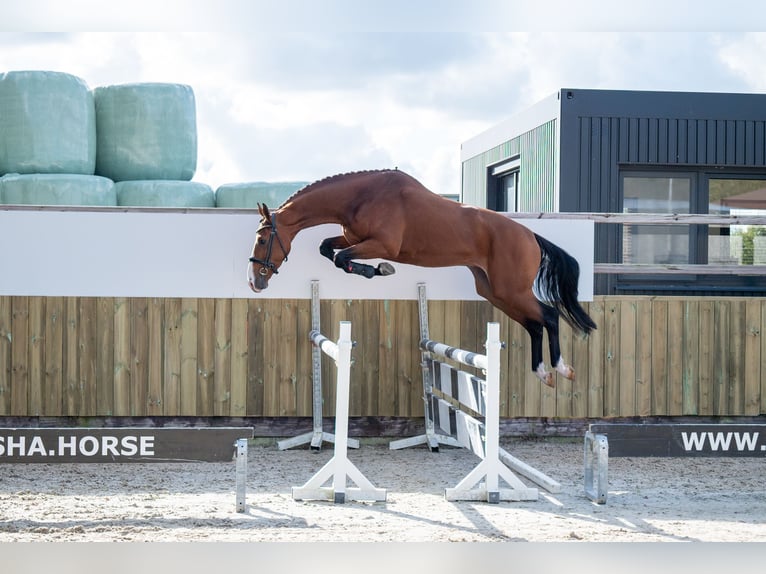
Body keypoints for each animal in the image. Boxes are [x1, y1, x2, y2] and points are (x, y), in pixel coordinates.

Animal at [249, 169, 596, 390]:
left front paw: (379, 269)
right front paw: (374, 270)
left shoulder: (381, 244)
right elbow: (328, 249)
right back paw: (544, 373)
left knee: (548, 316)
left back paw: (561, 369)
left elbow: (339, 257)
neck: (361, 196)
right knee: (535, 324)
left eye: (263, 240)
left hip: (511, 290)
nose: (255, 281)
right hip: (494, 291)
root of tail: (530, 236)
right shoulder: (353, 238)